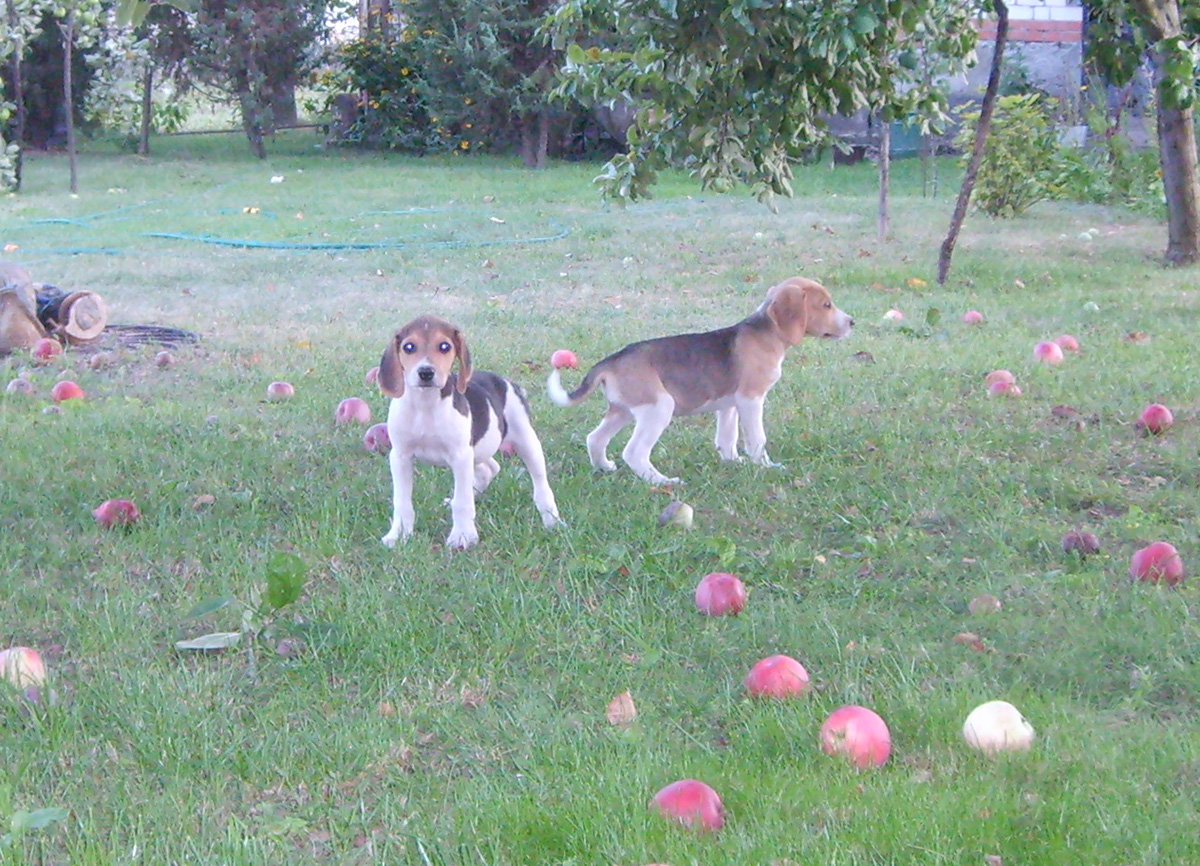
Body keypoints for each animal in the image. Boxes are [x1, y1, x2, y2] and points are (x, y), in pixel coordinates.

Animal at [378, 316, 562, 550]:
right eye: (408, 347)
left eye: (444, 346)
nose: (426, 372)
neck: (425, 404)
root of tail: (507, 382)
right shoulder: (400, 456)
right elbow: (402, 502)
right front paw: (399, 535)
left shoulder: (460, 455)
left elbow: (463, 502)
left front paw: (462, 536)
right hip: (477, 451)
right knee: (490, 468)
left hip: (526, 441)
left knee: (540, 483)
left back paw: (551, 519)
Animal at [547, 276, 853, 485]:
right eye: (826, 305)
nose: (853, 322)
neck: (767, 332)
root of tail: (612, 359)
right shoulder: (751, 399)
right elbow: (757, 439)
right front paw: (765, 466)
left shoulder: (730, 404)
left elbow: (727, 438)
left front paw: (733, 462)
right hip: (658, 407)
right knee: (634, 452)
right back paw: (662, 482)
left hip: (622, 410)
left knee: (595, 439)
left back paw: (604, 467)